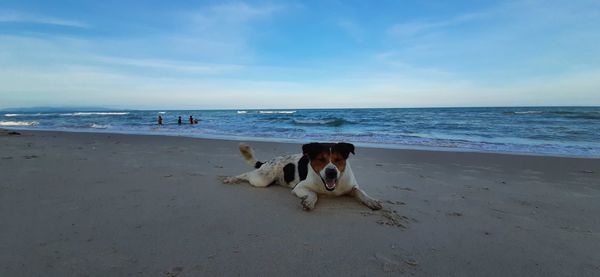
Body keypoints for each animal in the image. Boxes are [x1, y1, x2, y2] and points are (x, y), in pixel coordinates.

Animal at [223, 141, 382, 210]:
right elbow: (314, 194)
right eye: (321, 159)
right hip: (262, 179)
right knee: (247, 174)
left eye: (338, 160)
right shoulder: (300, 187)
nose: (331, 172)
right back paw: (232, 178)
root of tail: (269, 161)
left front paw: (371, 201)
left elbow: (360, 192)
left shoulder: (351, 187)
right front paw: (309, 201)